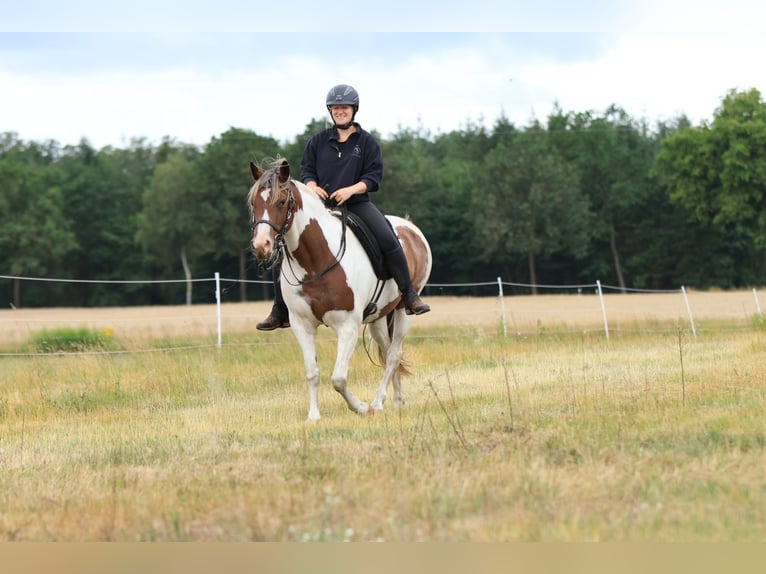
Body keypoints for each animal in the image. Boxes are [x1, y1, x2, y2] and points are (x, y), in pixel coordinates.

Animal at [247, 158, 432, 422]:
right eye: (254, 203)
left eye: (281, 202)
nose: (261, 245)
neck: (316, 261)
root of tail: (410, 227)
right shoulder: (302, 326)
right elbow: (312, 372)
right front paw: (313, 416)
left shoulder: (347, 328)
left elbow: (338, 379)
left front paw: (362, 407)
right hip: (378, 318)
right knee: (387, 351)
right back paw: (396, 400)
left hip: (402, 310)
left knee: (394, 354)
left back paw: (378, 401)